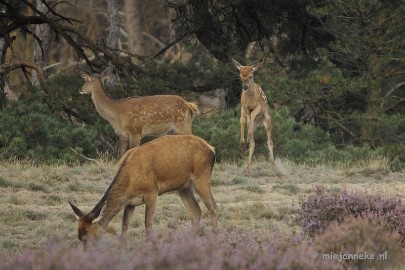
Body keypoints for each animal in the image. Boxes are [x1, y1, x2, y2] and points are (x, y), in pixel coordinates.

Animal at [69, 134, 218, 245]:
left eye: (89, 237)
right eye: (79, 237)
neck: (131, 178)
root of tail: (211, 149)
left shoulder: (152, 192)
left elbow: (148, 222)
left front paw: (150, 245)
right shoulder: (129, 202)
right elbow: (125, 225)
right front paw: (121, 246)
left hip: (202, 177)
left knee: (213, 207)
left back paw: (215, 238)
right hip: (183, 187)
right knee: (196, 211)